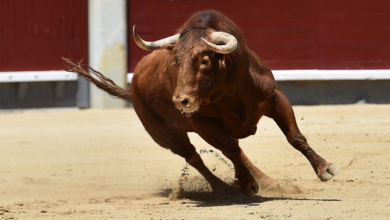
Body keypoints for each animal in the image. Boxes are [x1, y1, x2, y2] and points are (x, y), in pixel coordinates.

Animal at [62, 10, 336, 196]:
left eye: (204, 60)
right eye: (175, 61)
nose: (180, 100)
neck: (231, 89)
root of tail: (133, 85)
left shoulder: (276, 99)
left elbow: (294, 137)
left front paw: (324, 168)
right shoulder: (202, 122)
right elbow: (230, 150)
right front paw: (246, 183)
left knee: (235, 151)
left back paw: (266, 181)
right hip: (165, 135)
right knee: (195, 156)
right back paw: (224, 187)